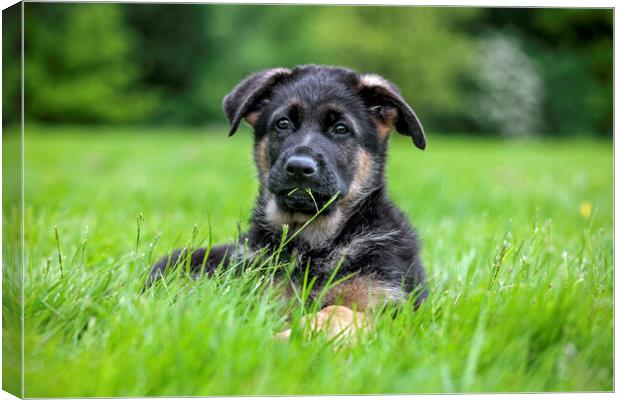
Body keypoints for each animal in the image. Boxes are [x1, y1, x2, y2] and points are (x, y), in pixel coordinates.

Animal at [148, 65, 428, 338]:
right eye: (283, 123)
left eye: (340, 129)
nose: (299, 168)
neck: (312, 244)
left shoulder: (391, 309)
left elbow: (340, 311)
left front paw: (300, 333)